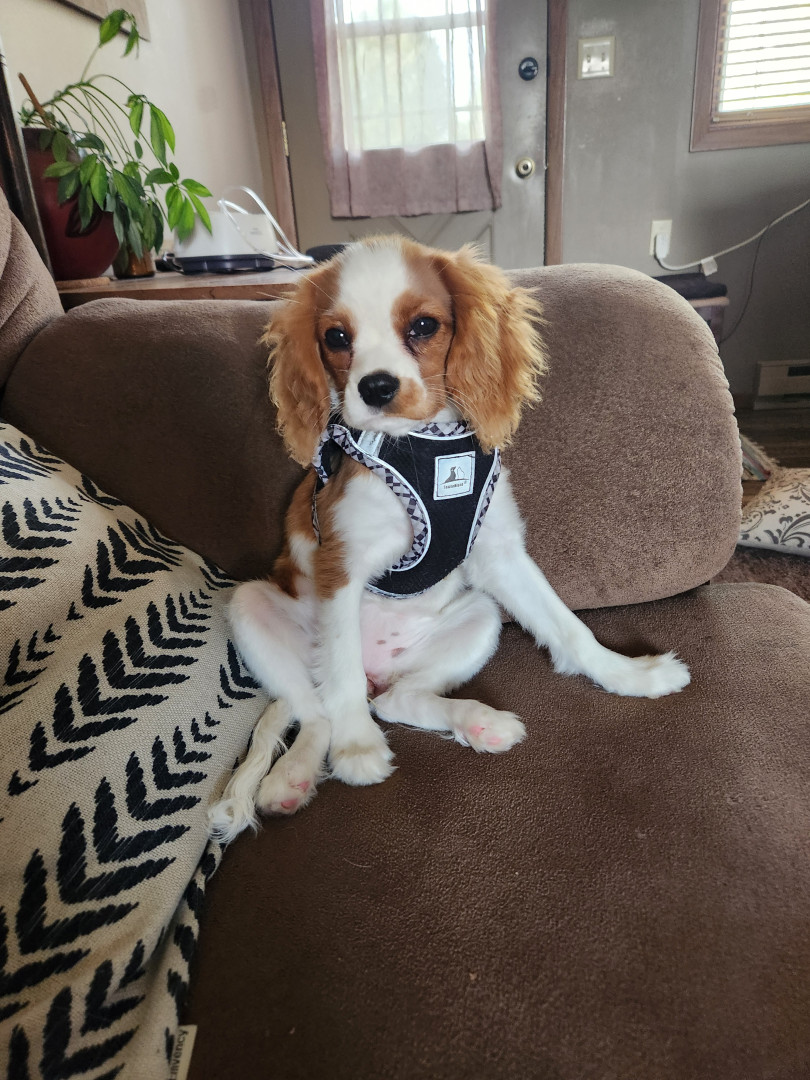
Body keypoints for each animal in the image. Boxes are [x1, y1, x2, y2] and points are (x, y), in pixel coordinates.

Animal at [208, 238, 690, 842]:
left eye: (423, 326)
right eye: (336, 337)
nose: (377, 387)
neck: (422, 447)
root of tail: (378, 671)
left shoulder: (499, 556)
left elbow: (568, 627)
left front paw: (630, 675)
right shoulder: (340, 565)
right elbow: (339, 670)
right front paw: (355, 748)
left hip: (479, 616)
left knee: (396, 700)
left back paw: (479, 723)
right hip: (251, 605)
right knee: (320, 703)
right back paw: (297, 774)